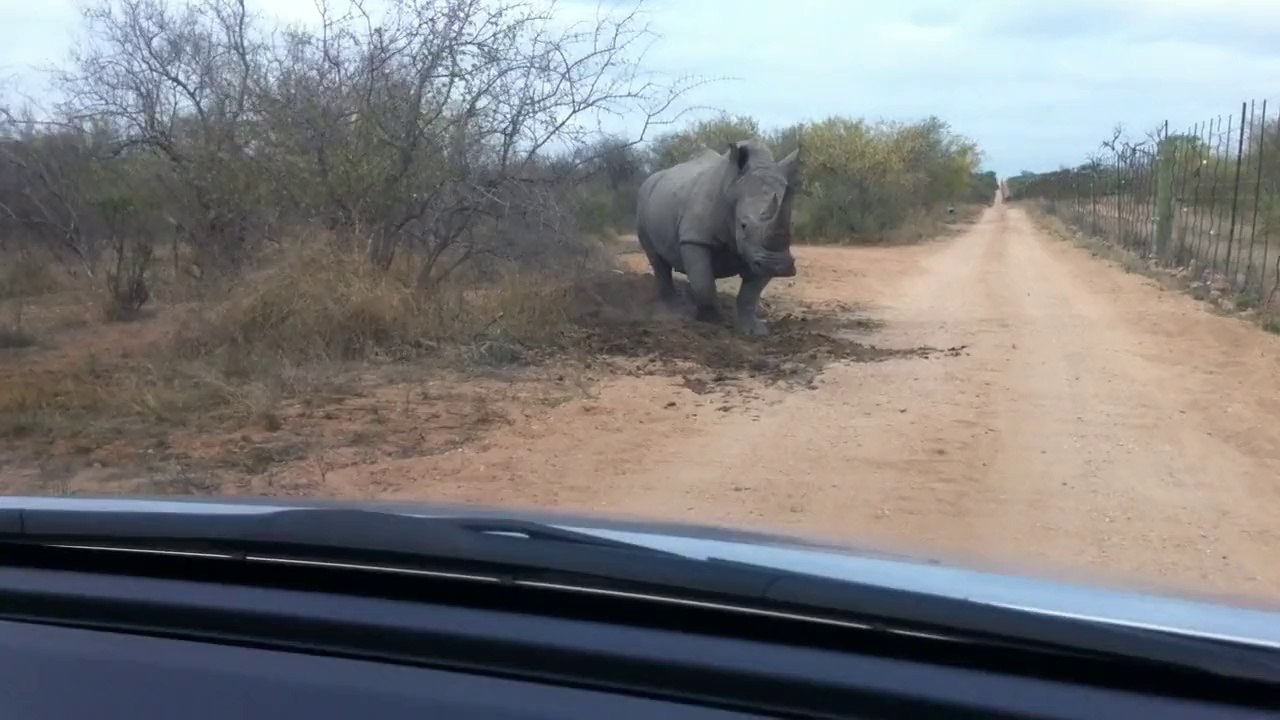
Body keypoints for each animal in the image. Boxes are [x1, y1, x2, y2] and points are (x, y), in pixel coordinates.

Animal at [635, 139, 800, 336]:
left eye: (792, 224)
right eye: (743, 225)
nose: (777, 266)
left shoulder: (759, 254)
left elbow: (749, 295)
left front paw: (755, 331)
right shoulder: (694, 238)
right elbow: (704, 284)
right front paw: (712, 323)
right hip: (644, 196)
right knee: (658, 261)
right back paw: (673, 313)